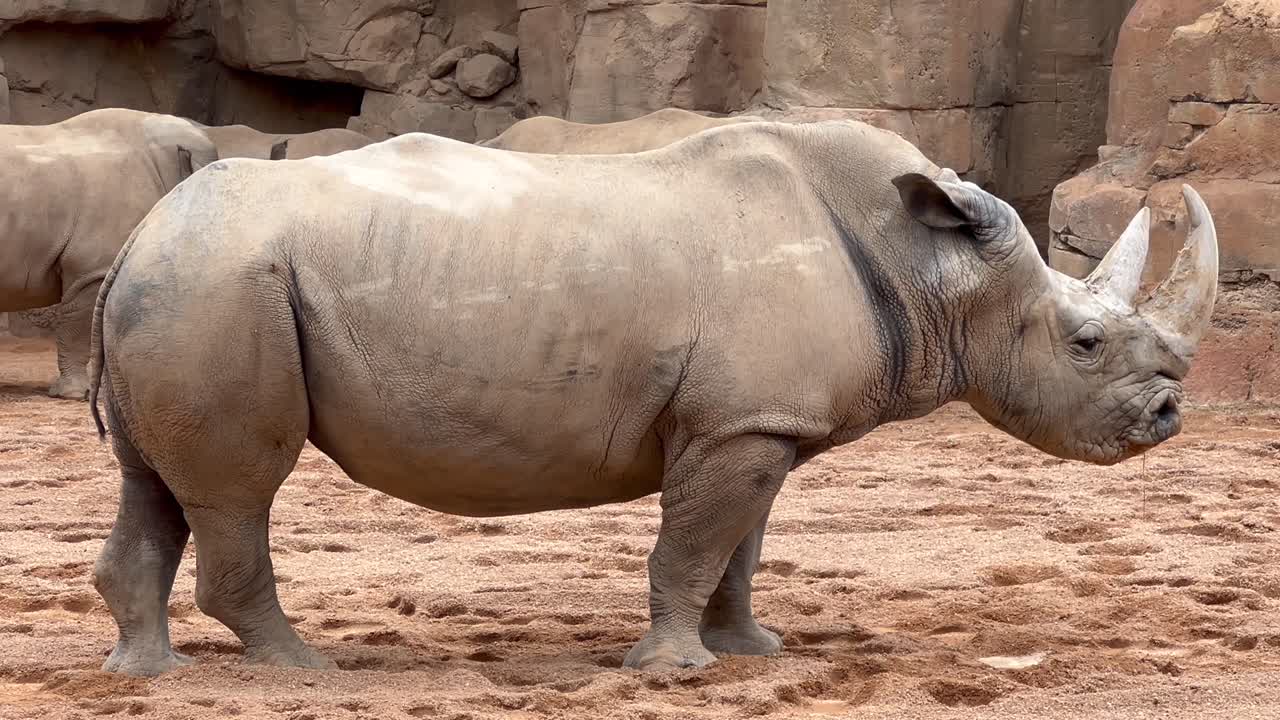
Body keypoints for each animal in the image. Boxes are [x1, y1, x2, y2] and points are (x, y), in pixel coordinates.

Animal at [86, 119, 1217, 677]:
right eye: (1084, 345)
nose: (1166, 418)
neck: (935, 270)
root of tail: (141, 229)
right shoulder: (738, 426)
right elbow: (692, 544)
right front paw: (673, 671)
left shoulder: (757, 423)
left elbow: (737, 547)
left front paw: (752, 652)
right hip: (220, 285)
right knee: (241, 487)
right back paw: (304, 670)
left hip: (185, 285)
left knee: (158, 485)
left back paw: (147, 675)